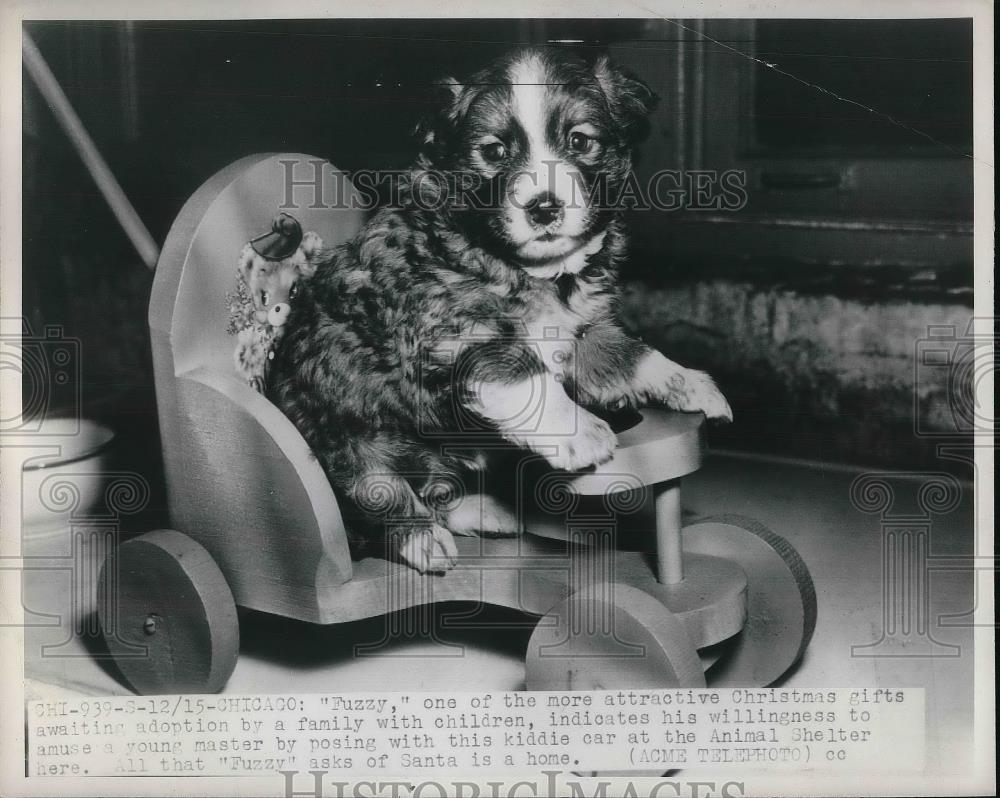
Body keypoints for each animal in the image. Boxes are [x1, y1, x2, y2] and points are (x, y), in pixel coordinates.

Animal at [270, 48, 732, 576]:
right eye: (494, 152)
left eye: (579, 141)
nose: (544, 208)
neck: (535, 270)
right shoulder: (458, 330)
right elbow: (527, 378)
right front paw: (579, 431)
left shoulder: (582, 332)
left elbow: (633, 355)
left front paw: (692, 384)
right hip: (345, 440)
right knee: (380, 493)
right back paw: (424, 540)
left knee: (443, 492)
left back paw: (488, 511)